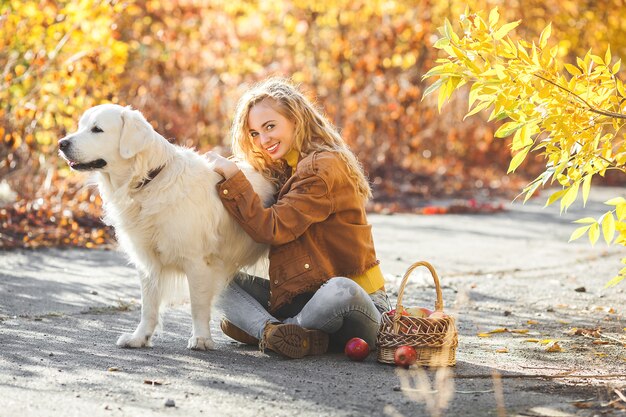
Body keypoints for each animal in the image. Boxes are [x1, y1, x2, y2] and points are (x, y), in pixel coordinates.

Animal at [59, 103, 272, 348]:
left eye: (97, 129)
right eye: (81, 126)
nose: (62, 143)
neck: (148, 180)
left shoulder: (196, 260)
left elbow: (197, 305)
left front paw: (201, 338)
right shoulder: (148, 261)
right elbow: (148, 306)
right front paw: (139, 337)